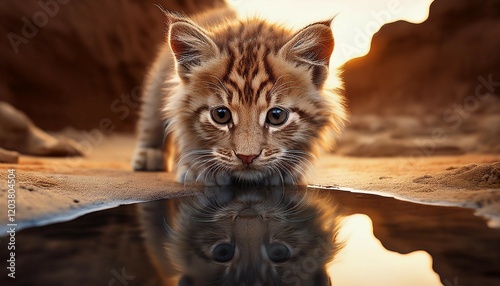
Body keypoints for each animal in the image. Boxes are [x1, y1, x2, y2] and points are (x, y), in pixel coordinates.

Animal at [131, 7, 346, 187]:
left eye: (276, 116)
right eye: (221, 115)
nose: (247, 157)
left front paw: (288, 171)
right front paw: (198, 169)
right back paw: (149, 155)